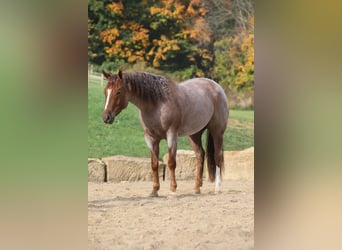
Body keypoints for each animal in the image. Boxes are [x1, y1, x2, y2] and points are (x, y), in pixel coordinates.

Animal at [102, 69, 230, 196]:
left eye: (118, 92)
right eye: (105, 92)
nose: (106, 117)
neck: (157, 103)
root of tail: (216, 86)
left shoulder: (171, 135)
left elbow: (171, 163)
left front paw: (173, 189)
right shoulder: (151, 138)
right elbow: (154, 164)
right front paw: (154, 190)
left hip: (217, 131)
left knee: (217, 156)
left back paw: (217, 188)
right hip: (195, 134)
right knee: (200, 155)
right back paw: (196, 188)